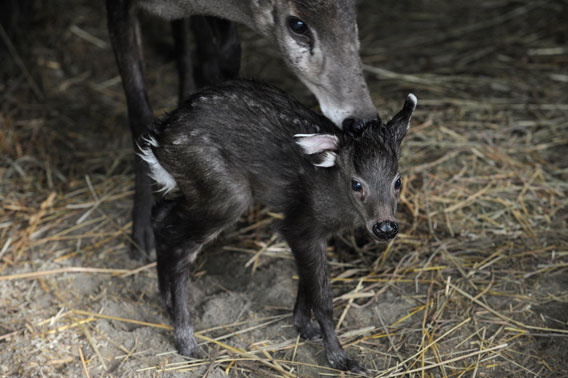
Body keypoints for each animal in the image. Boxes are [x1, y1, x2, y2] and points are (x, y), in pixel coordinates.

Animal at [105, 0, 382, 260]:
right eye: (297, 25)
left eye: (353, 14)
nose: (363, 120)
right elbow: (139, 111)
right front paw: (143, 234)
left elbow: (229, 52)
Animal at [140, 81, 414, 374]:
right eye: (356, 183)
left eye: (397, 181)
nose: (385, 227)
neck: (334, 196)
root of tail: (159, 140)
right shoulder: (301, 225)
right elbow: (323, 297)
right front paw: (341, 359)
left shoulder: (314, 232)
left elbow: (307, 282)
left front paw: (305, 327)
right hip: (226, 191)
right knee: (181, 247)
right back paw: (186, 341)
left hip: (199, 192)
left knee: (161, 216)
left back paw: (167, 303)